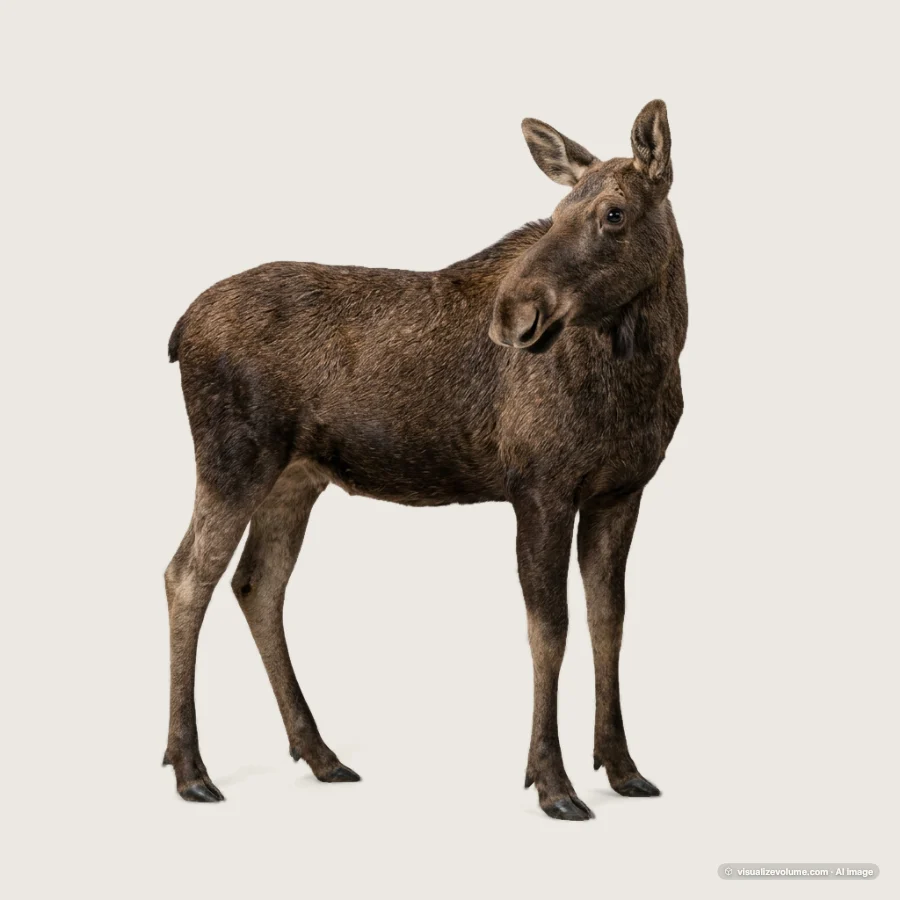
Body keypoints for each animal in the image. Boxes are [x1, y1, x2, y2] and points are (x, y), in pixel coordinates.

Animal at [163, 100, 687, 821]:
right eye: (554, 213)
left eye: (613, 212)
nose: (514, 315)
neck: (645, 372)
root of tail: (178, 330)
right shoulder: (540, 488)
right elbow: (549, 629)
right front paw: (552, 783)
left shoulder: (621, 491)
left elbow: (609, 621)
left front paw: (623, 766)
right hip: (232, 460)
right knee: (187, 576)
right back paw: (190, 768)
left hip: (295, 477)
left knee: (257, 584)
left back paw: (319, 753)